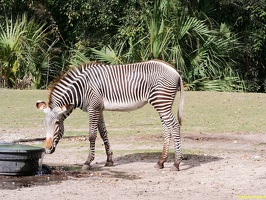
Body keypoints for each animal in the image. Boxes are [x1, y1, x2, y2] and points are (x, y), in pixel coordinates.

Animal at [35, 59, 185, 170]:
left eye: (57, 123)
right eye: (44, 124)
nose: (46, 149)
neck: (81, 89)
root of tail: (175, 70)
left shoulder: (93, 108)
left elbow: (92, 135)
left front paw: (88, 162)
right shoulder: (99, 109)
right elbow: (103, 133)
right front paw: (109, 160)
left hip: (161, 102)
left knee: (174, 126)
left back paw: (176, 163)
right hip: (162, 103)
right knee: (167, 129)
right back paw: (161, 162)